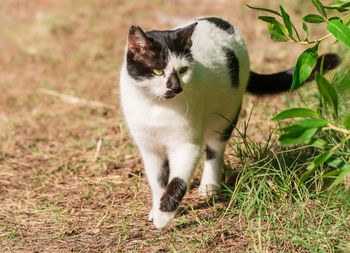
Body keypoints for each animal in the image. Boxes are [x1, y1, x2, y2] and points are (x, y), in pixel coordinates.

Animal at [119, 16, 340, 228]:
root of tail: (224, 22)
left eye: (182, 70)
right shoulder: (149, 148)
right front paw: (156, 209)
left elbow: (178, 181)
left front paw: (164, 216)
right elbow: (158, 181)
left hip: (228, 112)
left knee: (215, 149)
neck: (157, 107)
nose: (176, 87)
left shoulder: (186, 144)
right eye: (158, 71)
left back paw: (209, 186)